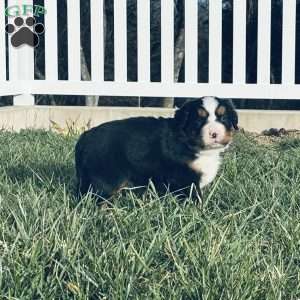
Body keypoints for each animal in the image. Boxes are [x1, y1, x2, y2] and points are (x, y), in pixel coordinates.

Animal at [75, 97, 239, 203]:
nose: (214, 133)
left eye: (223, 118)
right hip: (106, 179)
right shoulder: (186, 180)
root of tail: (85, 137)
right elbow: (196, 200)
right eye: (199, 120)